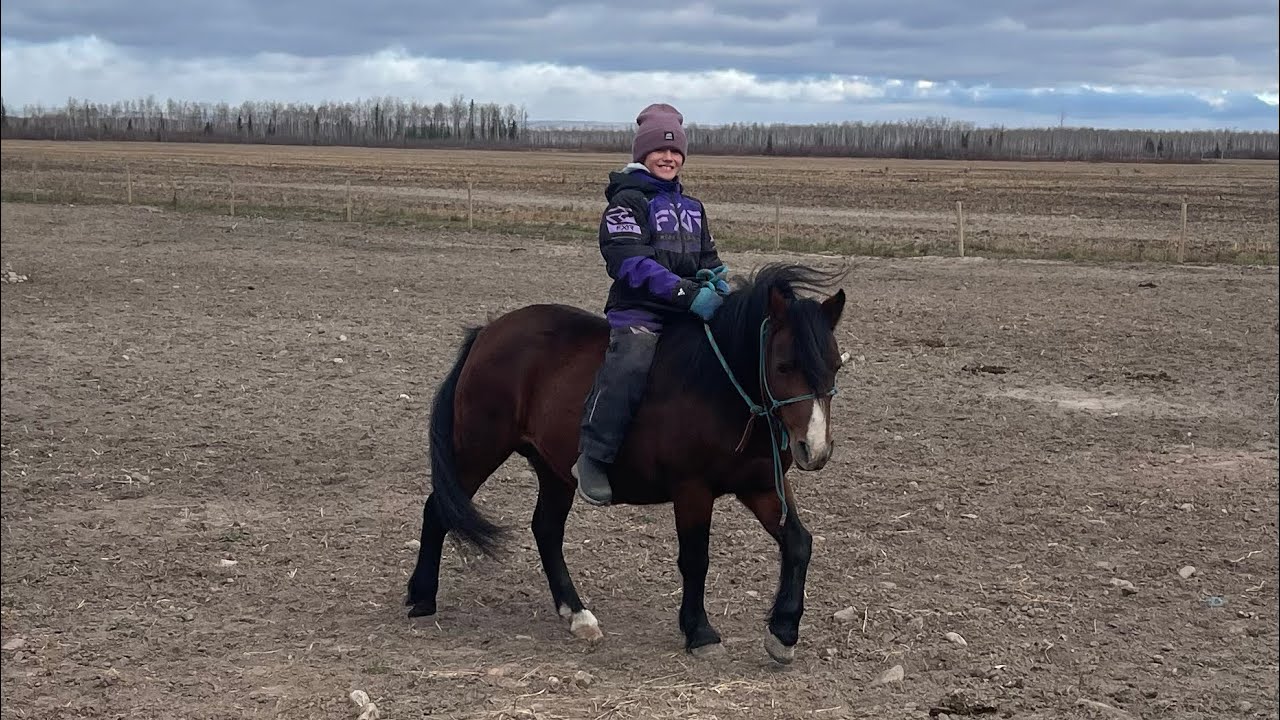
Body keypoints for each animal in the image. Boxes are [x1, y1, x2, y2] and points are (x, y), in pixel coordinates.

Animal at [405, 262, 848, 664]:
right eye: (783, 365)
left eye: (835, 365)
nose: (814, 448)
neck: (720, 388)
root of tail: (488, 333)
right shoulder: (692, 490)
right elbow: (695, 559)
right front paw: (700, 632)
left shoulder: (761, 485)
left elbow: (798, 543)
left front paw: (783, 632)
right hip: (479, 449)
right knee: (438, 508)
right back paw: (421, 597)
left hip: (553, 469)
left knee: (546, 529)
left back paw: (577, 614)